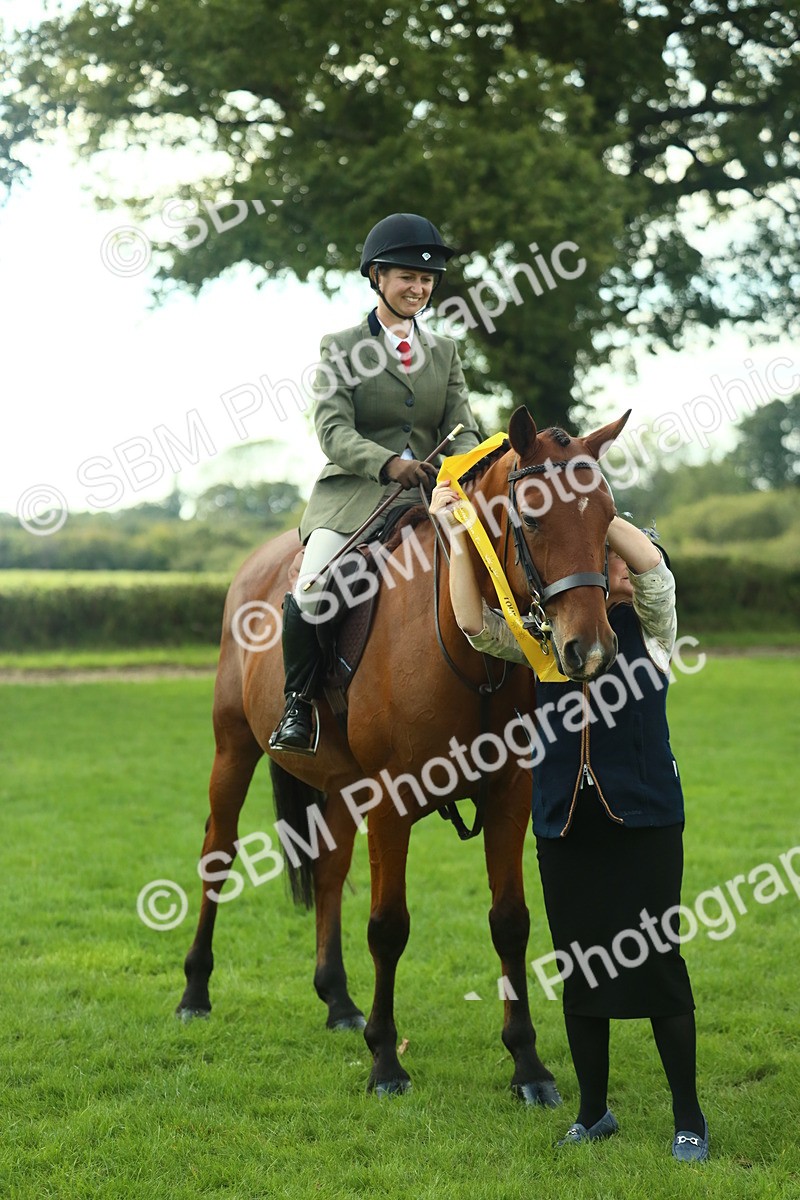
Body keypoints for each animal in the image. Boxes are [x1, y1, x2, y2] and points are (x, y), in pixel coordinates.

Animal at [177, 406, 629, 1100]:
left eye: (606, 516)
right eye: (532, 516)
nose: (593, 650)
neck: (466, 644)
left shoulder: (509, 796)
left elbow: (510, 921)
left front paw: (528, 1065)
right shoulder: (390, 801)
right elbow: (388, 926)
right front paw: (387, 1062)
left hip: (339, 785)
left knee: (329, 871)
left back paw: (338, 1002)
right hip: (235, 750)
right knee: (217, 856)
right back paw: (195, 991)